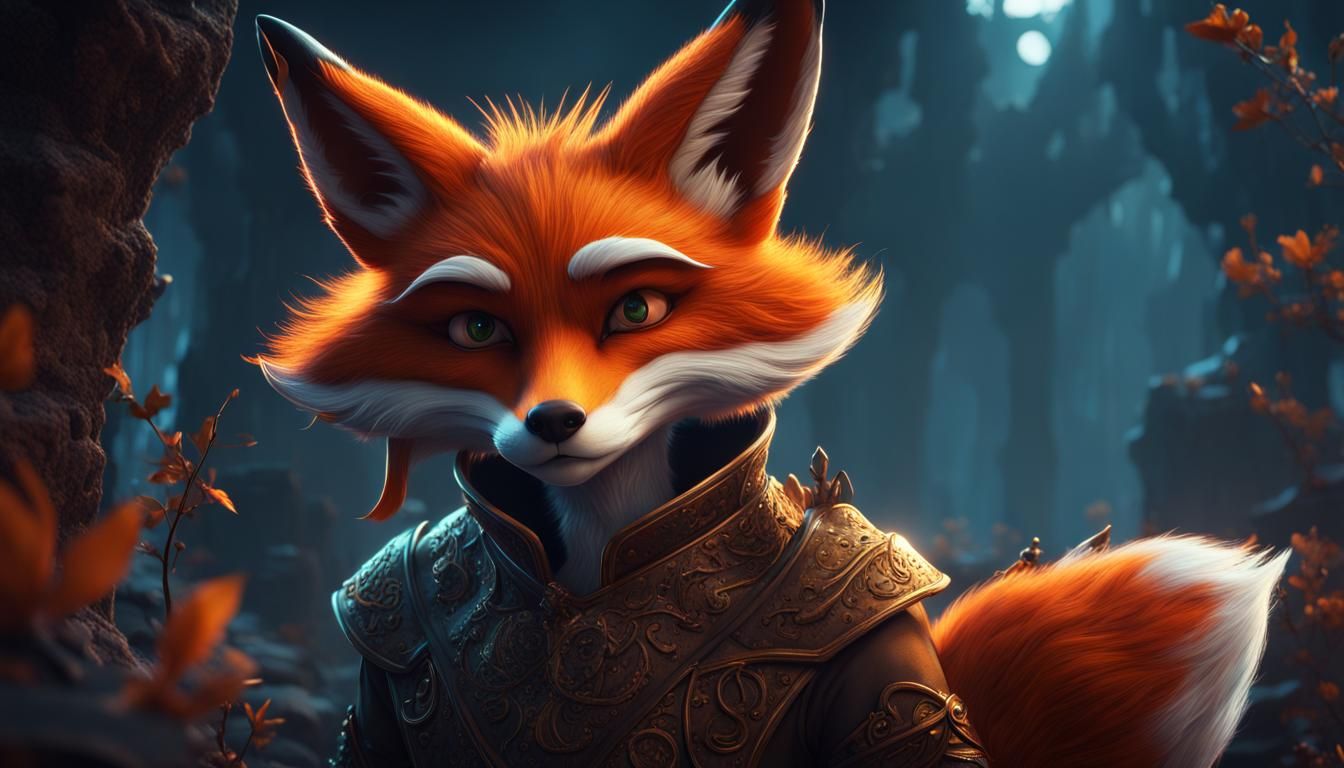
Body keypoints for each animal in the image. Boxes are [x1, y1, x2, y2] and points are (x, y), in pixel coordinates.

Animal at [252, 1, 1287, 766]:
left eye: (636, 310)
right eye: (477, 328)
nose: (552, 420)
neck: (587, 574)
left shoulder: (884, 651)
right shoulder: (383, 646)